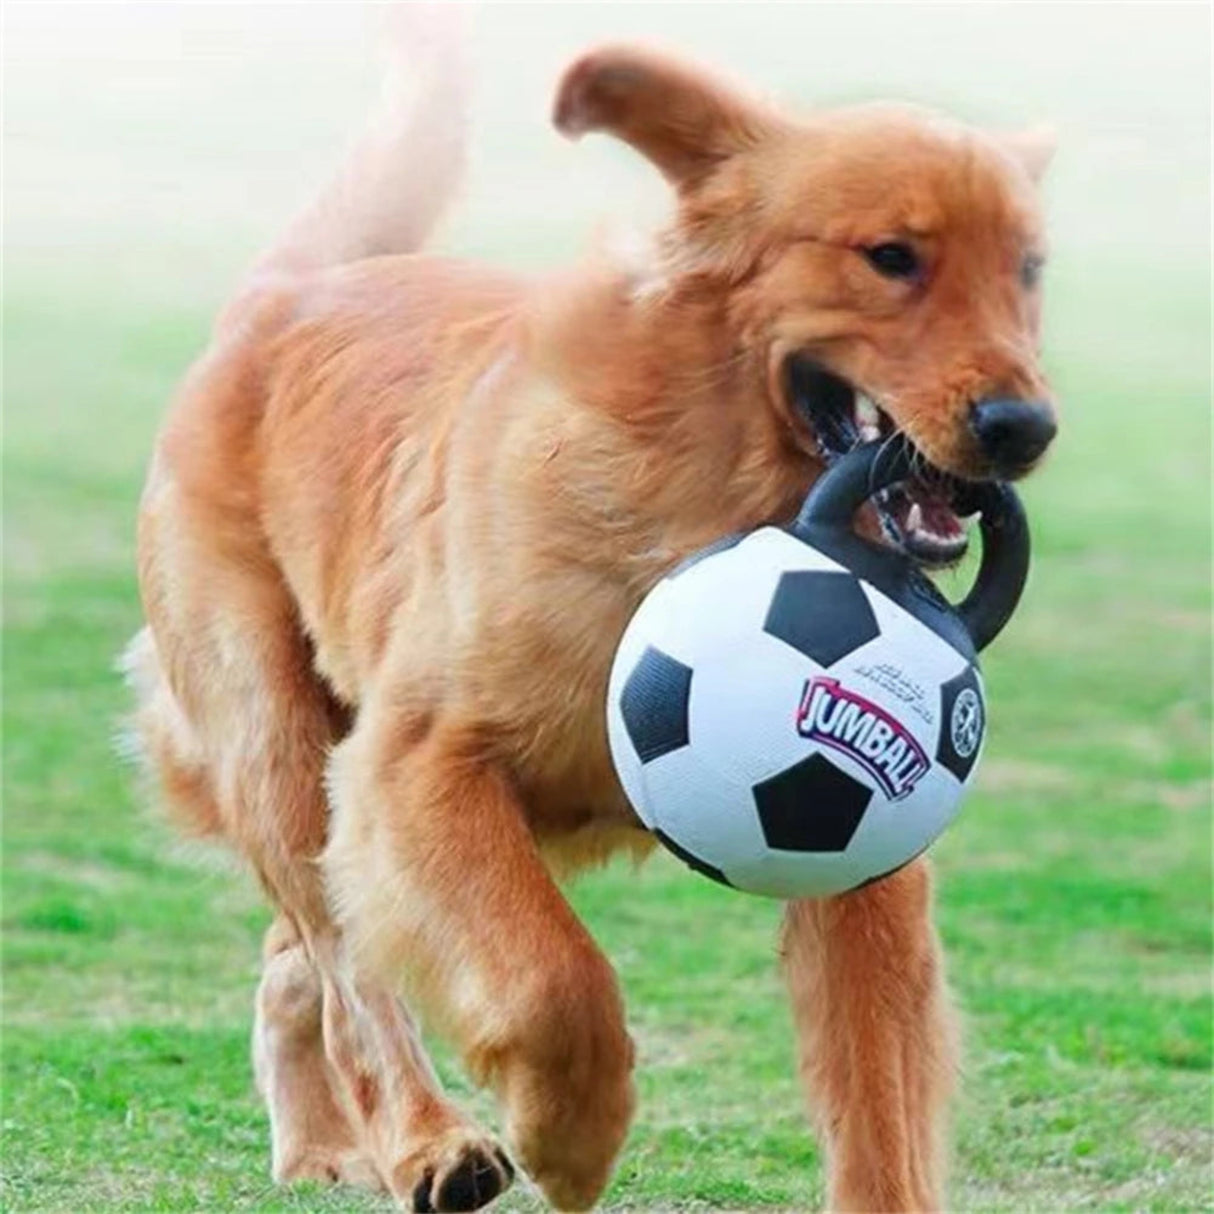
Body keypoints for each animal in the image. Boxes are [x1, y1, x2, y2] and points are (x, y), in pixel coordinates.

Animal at [123, 11, 1053, 1214]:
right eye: (891, 256)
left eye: (1028, 270)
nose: (1022, 426)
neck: (708, 503)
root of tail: (289, 287)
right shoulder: (418, 761)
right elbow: (551, 978)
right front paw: (570, 1132)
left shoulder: (864, 851)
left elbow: (878, 1102)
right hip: (276, 742)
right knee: (351, 977)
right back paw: (426, 1141)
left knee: (301, 961)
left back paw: (323, 1146)